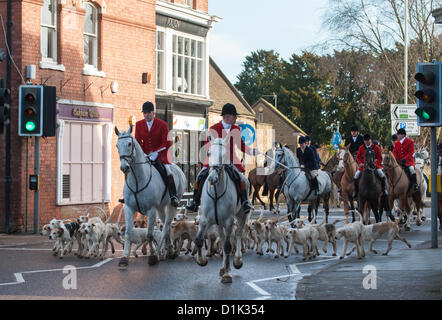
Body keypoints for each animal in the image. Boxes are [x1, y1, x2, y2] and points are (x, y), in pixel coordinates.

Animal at [115, 125, 186, 268]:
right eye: (117, 145)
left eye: (129, 144)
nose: (124, 167)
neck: (137, 180)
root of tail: (178, 168)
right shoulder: (129, 208)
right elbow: (128, 233)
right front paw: (124, 258)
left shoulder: (151, 210)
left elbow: (149, 235)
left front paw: (152, 257)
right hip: (161, 207)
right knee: (165, 226)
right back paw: (168, 251)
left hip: (171, 205)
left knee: (166, 226)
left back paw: (162, 252)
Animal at [194, 135, 250, 282]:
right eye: (208, 153)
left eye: (224, 155)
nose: (212, 178)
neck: (216, 193)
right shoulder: (204, 219)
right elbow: (199, 240)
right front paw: (201, 260)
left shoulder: (229, 221)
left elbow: (228, 246)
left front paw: (227, 274)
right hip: (219, 222)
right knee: (224, 238)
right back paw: (223, 267)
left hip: (241, 215)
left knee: (237, 235)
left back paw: (236, 262)